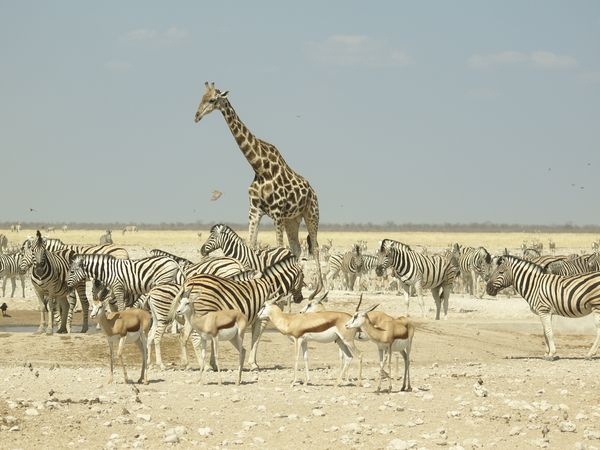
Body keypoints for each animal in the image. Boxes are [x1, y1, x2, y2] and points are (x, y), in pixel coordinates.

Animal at [172, 255, 304, 370]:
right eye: (303, 277)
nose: (300, 299)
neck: (273, 286)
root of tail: (187, 281)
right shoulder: (262, 318)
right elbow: (256, 338)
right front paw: (253, 364)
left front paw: (215, 363)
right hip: (203, 312)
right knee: (195, 337)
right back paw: (204, 366)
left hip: (191, 313)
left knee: (183, 336)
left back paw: (187, 364)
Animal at [193, 81, 324, 298]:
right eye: (200, 98)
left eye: (212, 100)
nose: (196, 116)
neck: (260, 168)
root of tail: (313, 191)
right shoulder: (254, 210)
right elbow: (251, 245)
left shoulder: (277, 213)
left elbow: (279, 247)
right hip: (293, 220)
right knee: (296, 248)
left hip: (311, 214)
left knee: (314, 247)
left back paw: (318, 289)